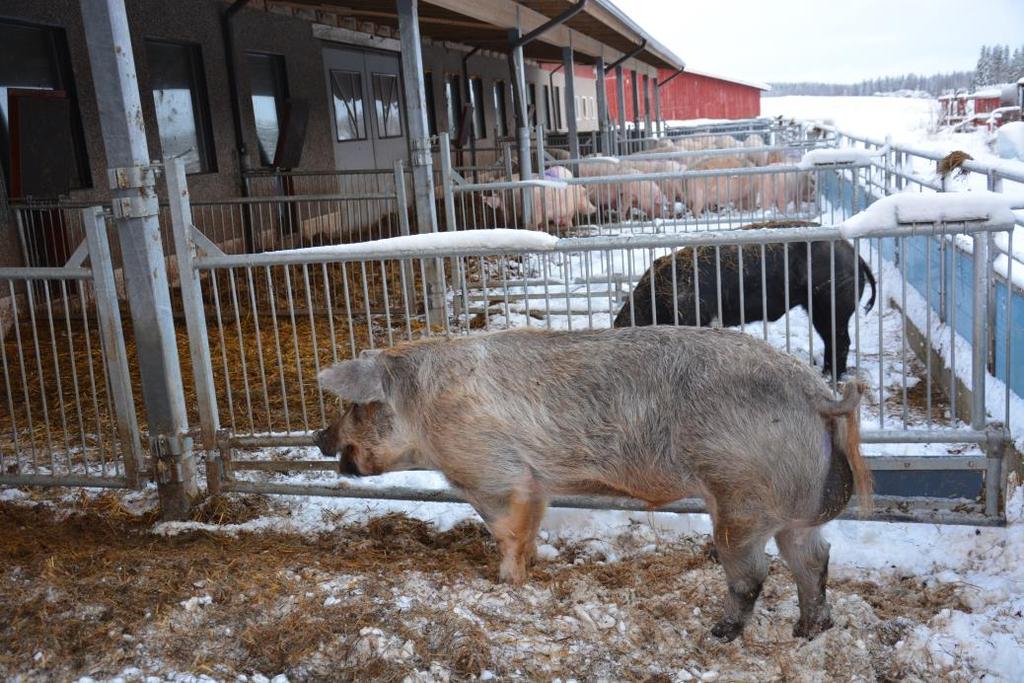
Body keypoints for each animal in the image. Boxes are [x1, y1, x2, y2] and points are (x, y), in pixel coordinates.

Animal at [317, 327, 872, 643]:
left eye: (356, 407)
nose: (320, 437)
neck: (423, 411)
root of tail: (821, 395)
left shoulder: (492, 473)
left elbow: (506, 530)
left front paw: (504, 582)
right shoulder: (536, 483)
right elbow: (531, 526)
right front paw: (532, 568)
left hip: (739, 498)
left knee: (754, 572)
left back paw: (720, 635)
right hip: (793, 508)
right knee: (813, 559)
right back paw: (808, 631)